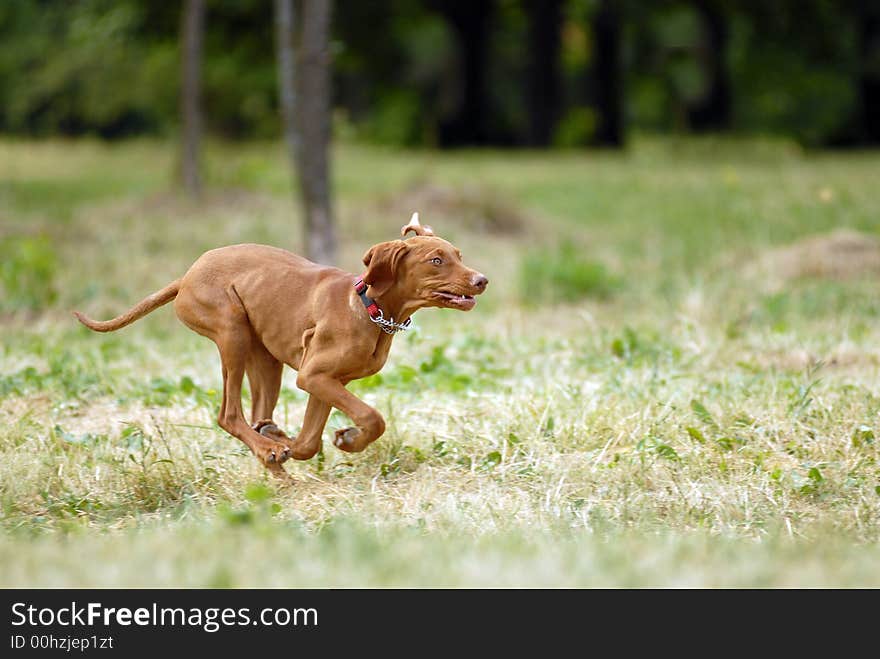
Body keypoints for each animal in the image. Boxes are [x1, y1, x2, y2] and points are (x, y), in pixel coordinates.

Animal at [75, 214, 488, 476]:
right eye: (436, 260)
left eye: (459, 256)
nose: (482, 280)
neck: (370, 309)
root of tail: (187, 275)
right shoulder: (314, 376)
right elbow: (373, 417)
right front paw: (350, 438)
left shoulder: (327, 382)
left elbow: (309, 442)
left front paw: (330, 440)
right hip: (231, 331)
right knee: (229, 415)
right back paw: (268, 449)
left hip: (264, 358)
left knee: (258, 415)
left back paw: (272, 450)